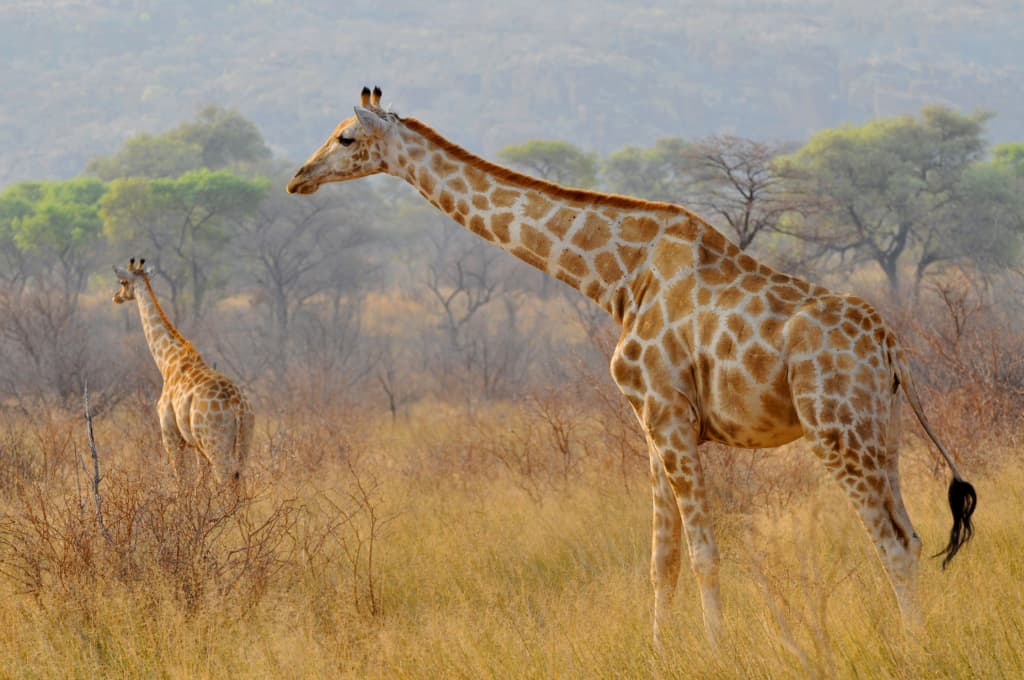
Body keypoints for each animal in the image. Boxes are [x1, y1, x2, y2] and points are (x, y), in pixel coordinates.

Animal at [112, 258, 253, 485]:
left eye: (123, 282)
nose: (116, 296)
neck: (167, 361)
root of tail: (238, 406)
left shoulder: (171, 436)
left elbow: (183, 482)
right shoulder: (195, 444)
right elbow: (200, 483)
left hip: (216, 444)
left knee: (225, 479)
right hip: (244, 441)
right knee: (239, 479)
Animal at [286, 87, 974, 647]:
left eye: (345, 137)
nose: (297, 178)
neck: (617, 278)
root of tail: (891, 349)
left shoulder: (669, 417)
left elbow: (703, 553)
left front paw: (718, 651)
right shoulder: (652, 424)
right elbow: (660, 560)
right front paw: (660, 651)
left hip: (835, 429)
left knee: (891, 542)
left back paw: (911, 650)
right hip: (880, 431)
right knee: (912, 536)